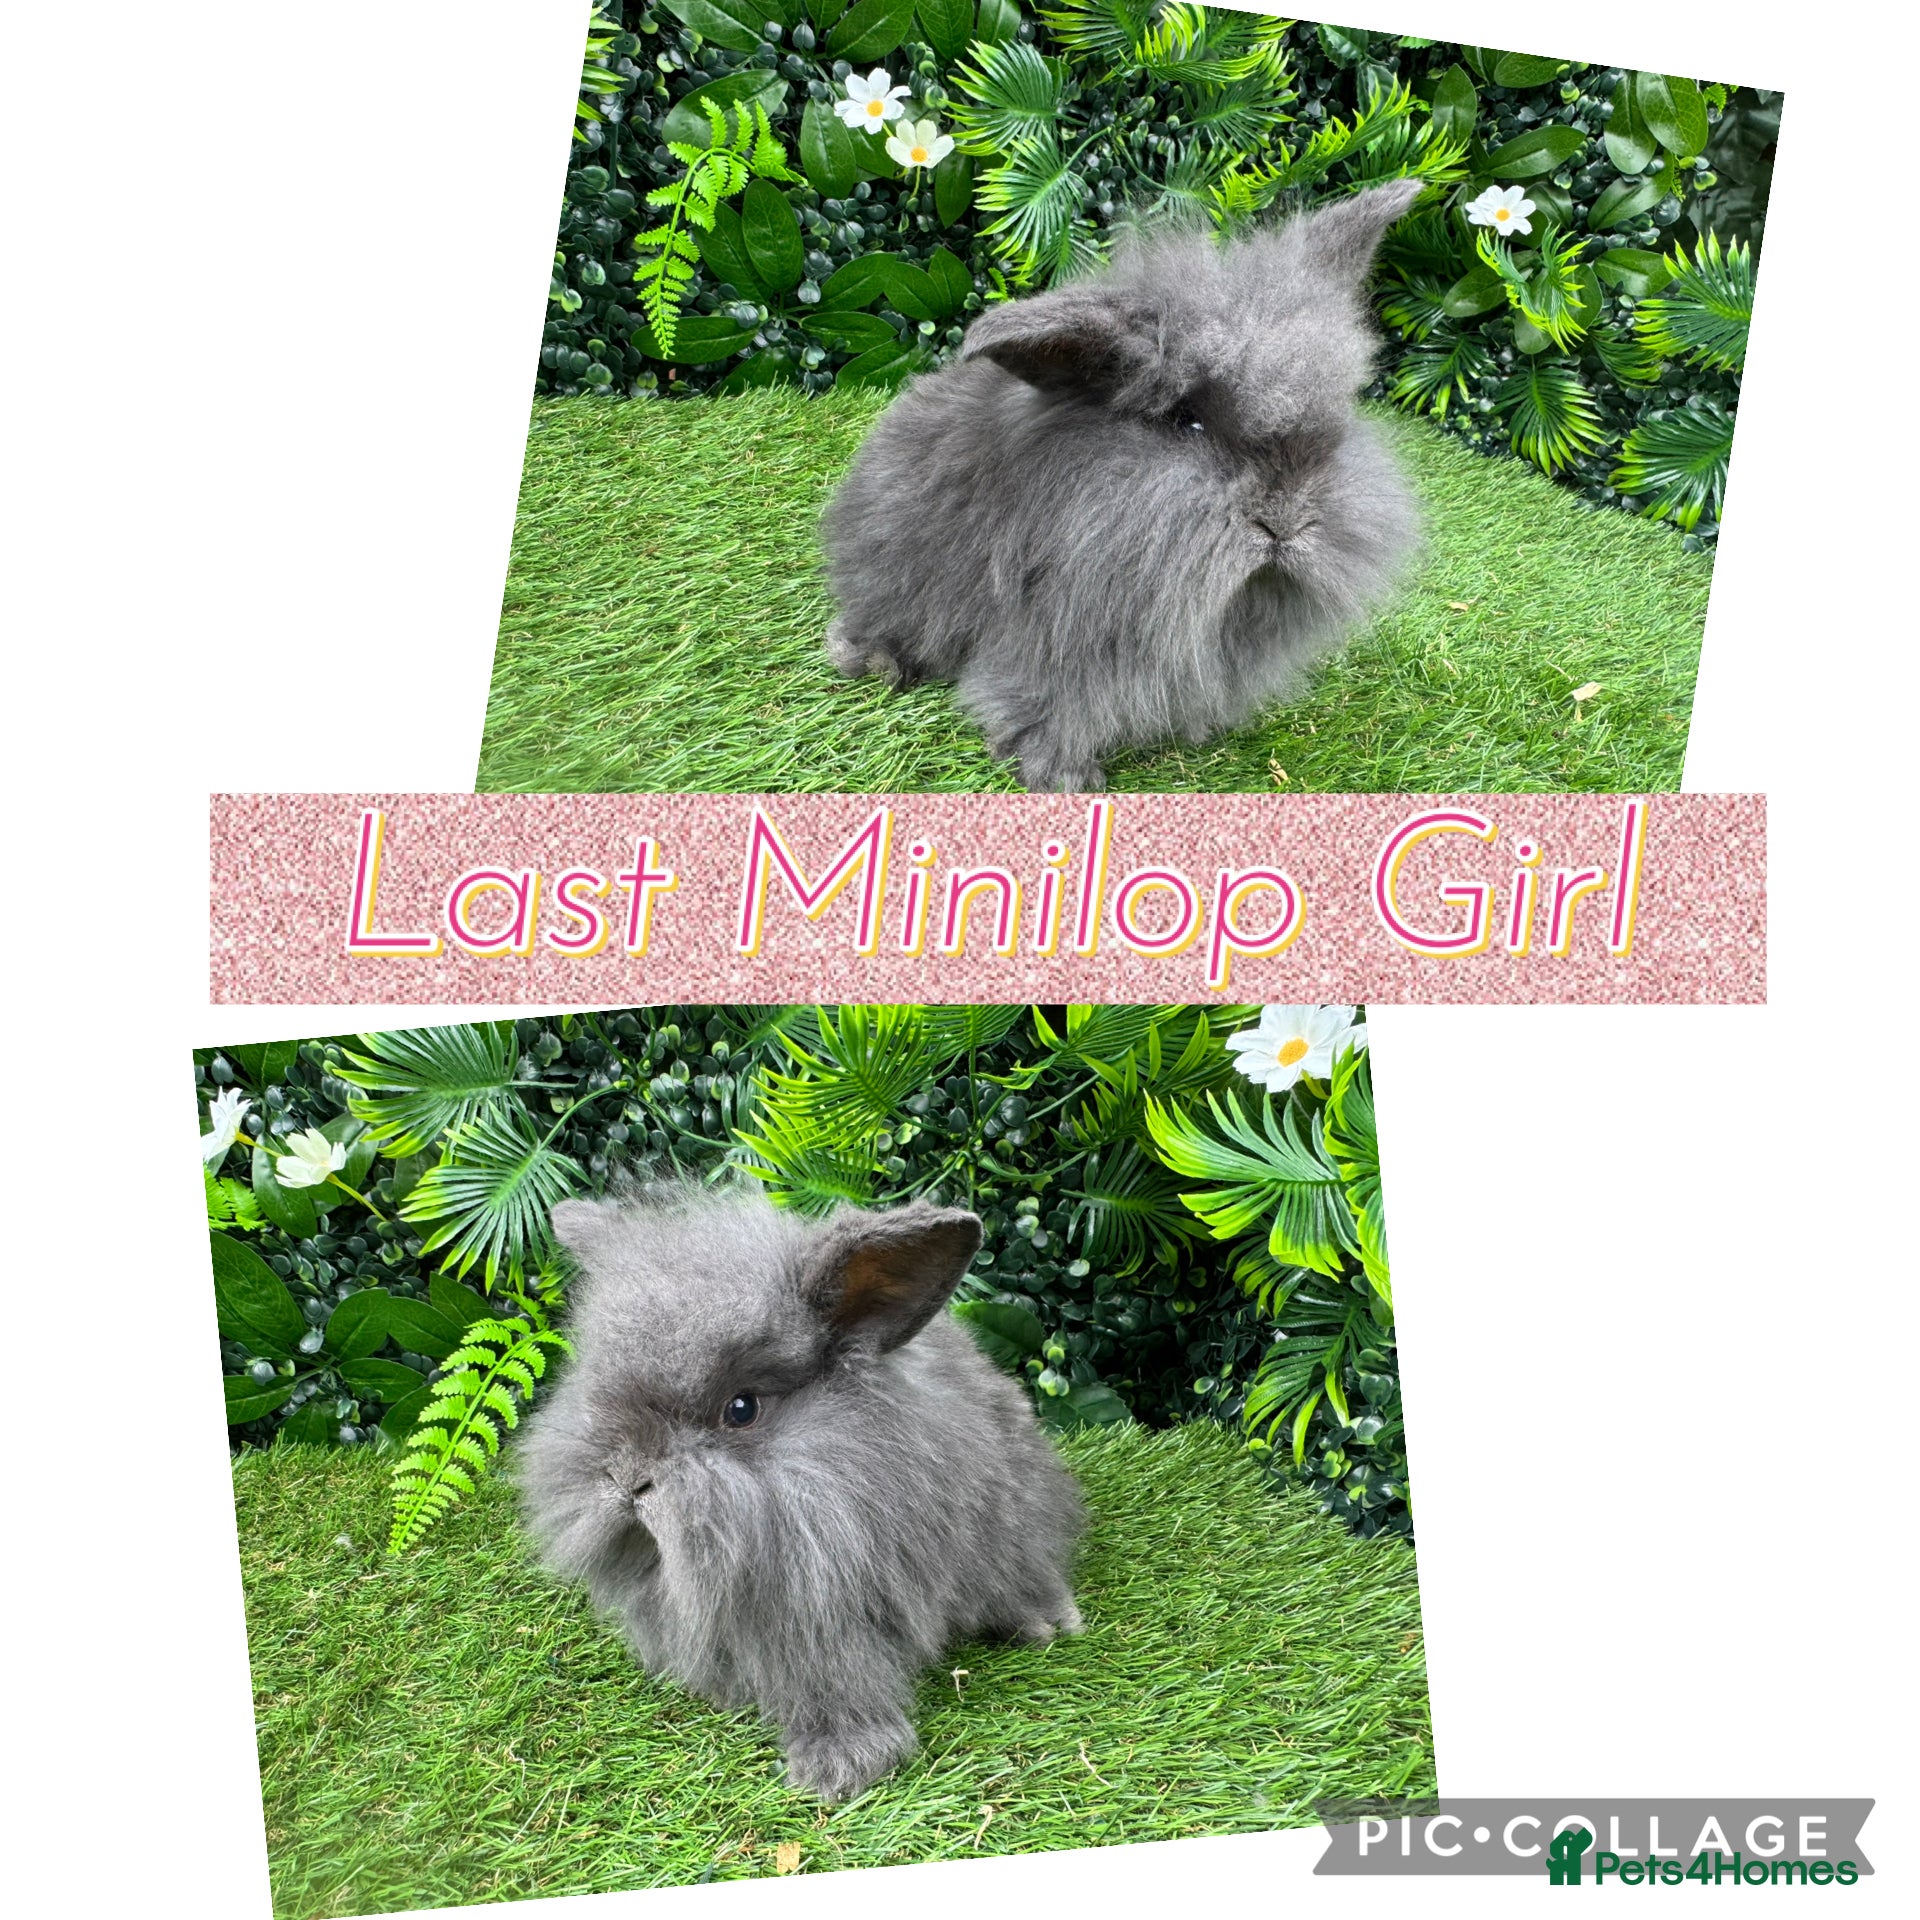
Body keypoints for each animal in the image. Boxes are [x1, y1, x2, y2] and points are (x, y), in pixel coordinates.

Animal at [516, 1185, 1086, 1802]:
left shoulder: (829, 1610)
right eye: (596, 1384)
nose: (626, 1478)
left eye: (742, 1409)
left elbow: (838, 1681)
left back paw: (1046, 1624)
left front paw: (839, 1766)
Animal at [821, 177, 1426, 791]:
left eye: (1335, 420)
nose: (1284, 521)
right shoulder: (1058, 635)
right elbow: (1048, 702)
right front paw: (1064, 777)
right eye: (1187, 421)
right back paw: (878, 665)